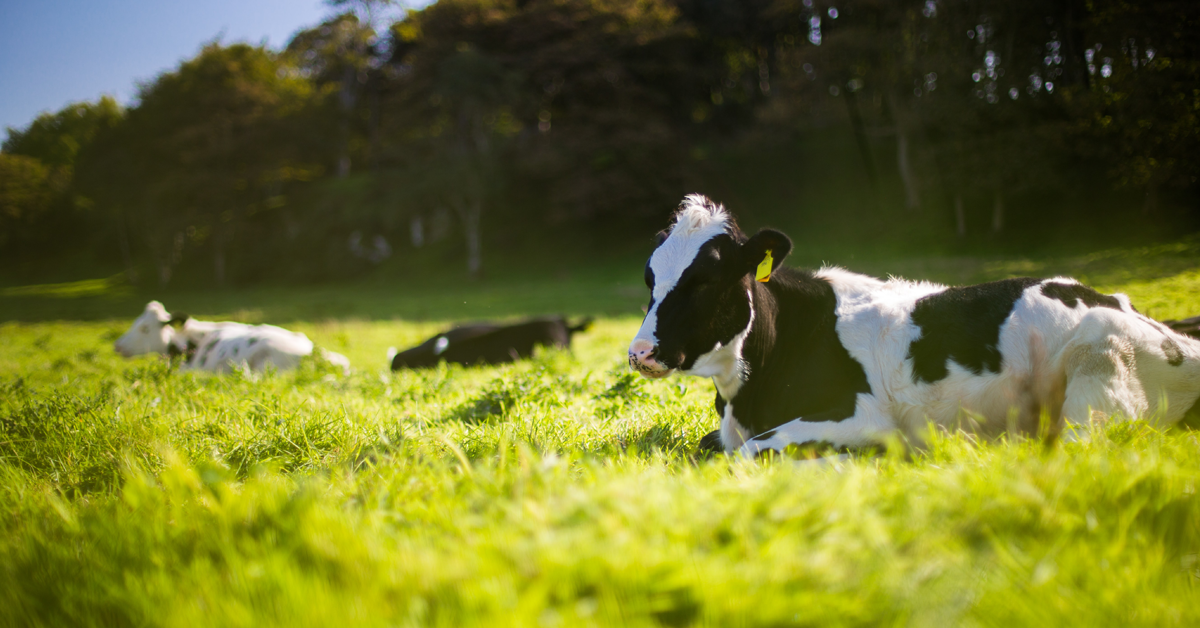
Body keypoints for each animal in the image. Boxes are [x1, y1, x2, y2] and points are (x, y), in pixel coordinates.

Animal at [628, 195, 1200, 458]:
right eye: (649, 276)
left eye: (705, 281)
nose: (639, 352)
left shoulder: (860, 415)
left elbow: (750, 452)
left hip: (1099, 374)